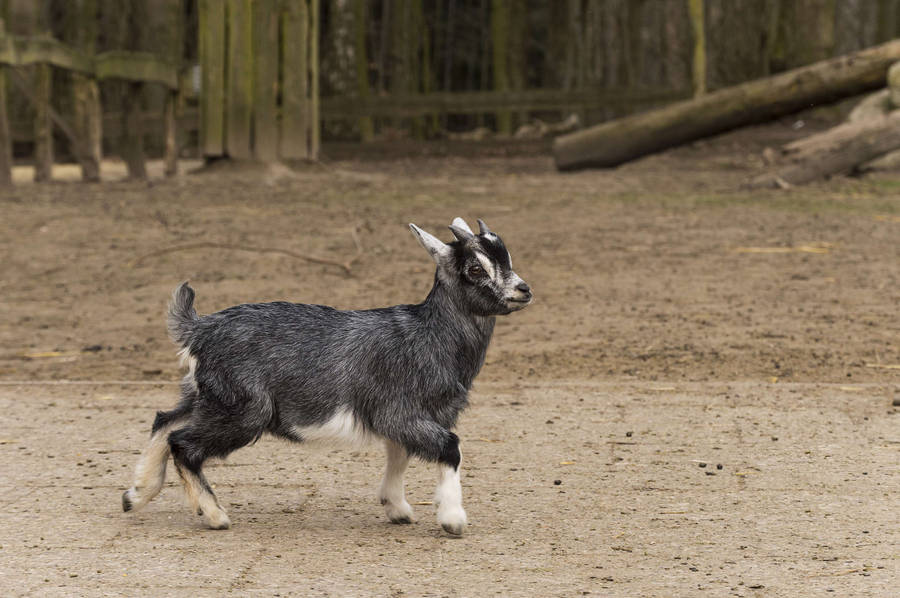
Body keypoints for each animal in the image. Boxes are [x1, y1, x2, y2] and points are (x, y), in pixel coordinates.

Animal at [122, 217, 532, 535]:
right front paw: (452, 519)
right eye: (475, 268)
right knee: (182, 443)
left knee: (164, 420)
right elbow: (449, 447)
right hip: (243, 409)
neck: (430, 335)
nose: (523, 290)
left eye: (508, 258)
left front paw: (397, 508)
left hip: (207, 394)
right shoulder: (401, 412)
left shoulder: (402, 419)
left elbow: (398, 454)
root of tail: (199, 329)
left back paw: (136, 494)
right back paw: (213, 514)